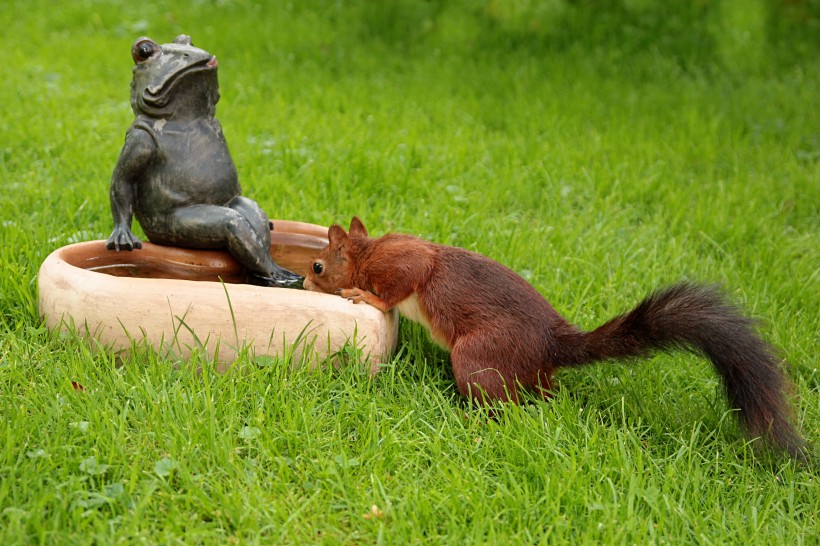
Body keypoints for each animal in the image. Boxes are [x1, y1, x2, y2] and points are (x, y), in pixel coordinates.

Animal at [302, 217, 808, 460]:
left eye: (318, 266)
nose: (303, 282)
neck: (368, 253)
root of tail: (552, 344)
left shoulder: (403, 263)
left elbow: (395, 287)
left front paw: (362, 293)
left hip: (476, 357)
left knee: (501, 404)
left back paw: (471, 420)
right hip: (528, 372)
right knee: (538, 395)